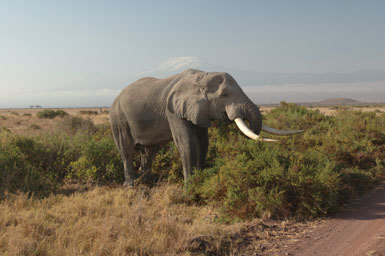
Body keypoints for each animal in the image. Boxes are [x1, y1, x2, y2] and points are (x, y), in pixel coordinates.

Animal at [109, 69, 304, 187]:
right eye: (224, 95)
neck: (201, 75)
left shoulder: (200, 110)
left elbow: (203, 143)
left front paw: (200, 182)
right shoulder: (173, 111)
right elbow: (187, 143)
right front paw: (190, 190)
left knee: (150, 151)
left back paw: (147, 182)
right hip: (118, 118)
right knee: (126, 150)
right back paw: (131, 185)